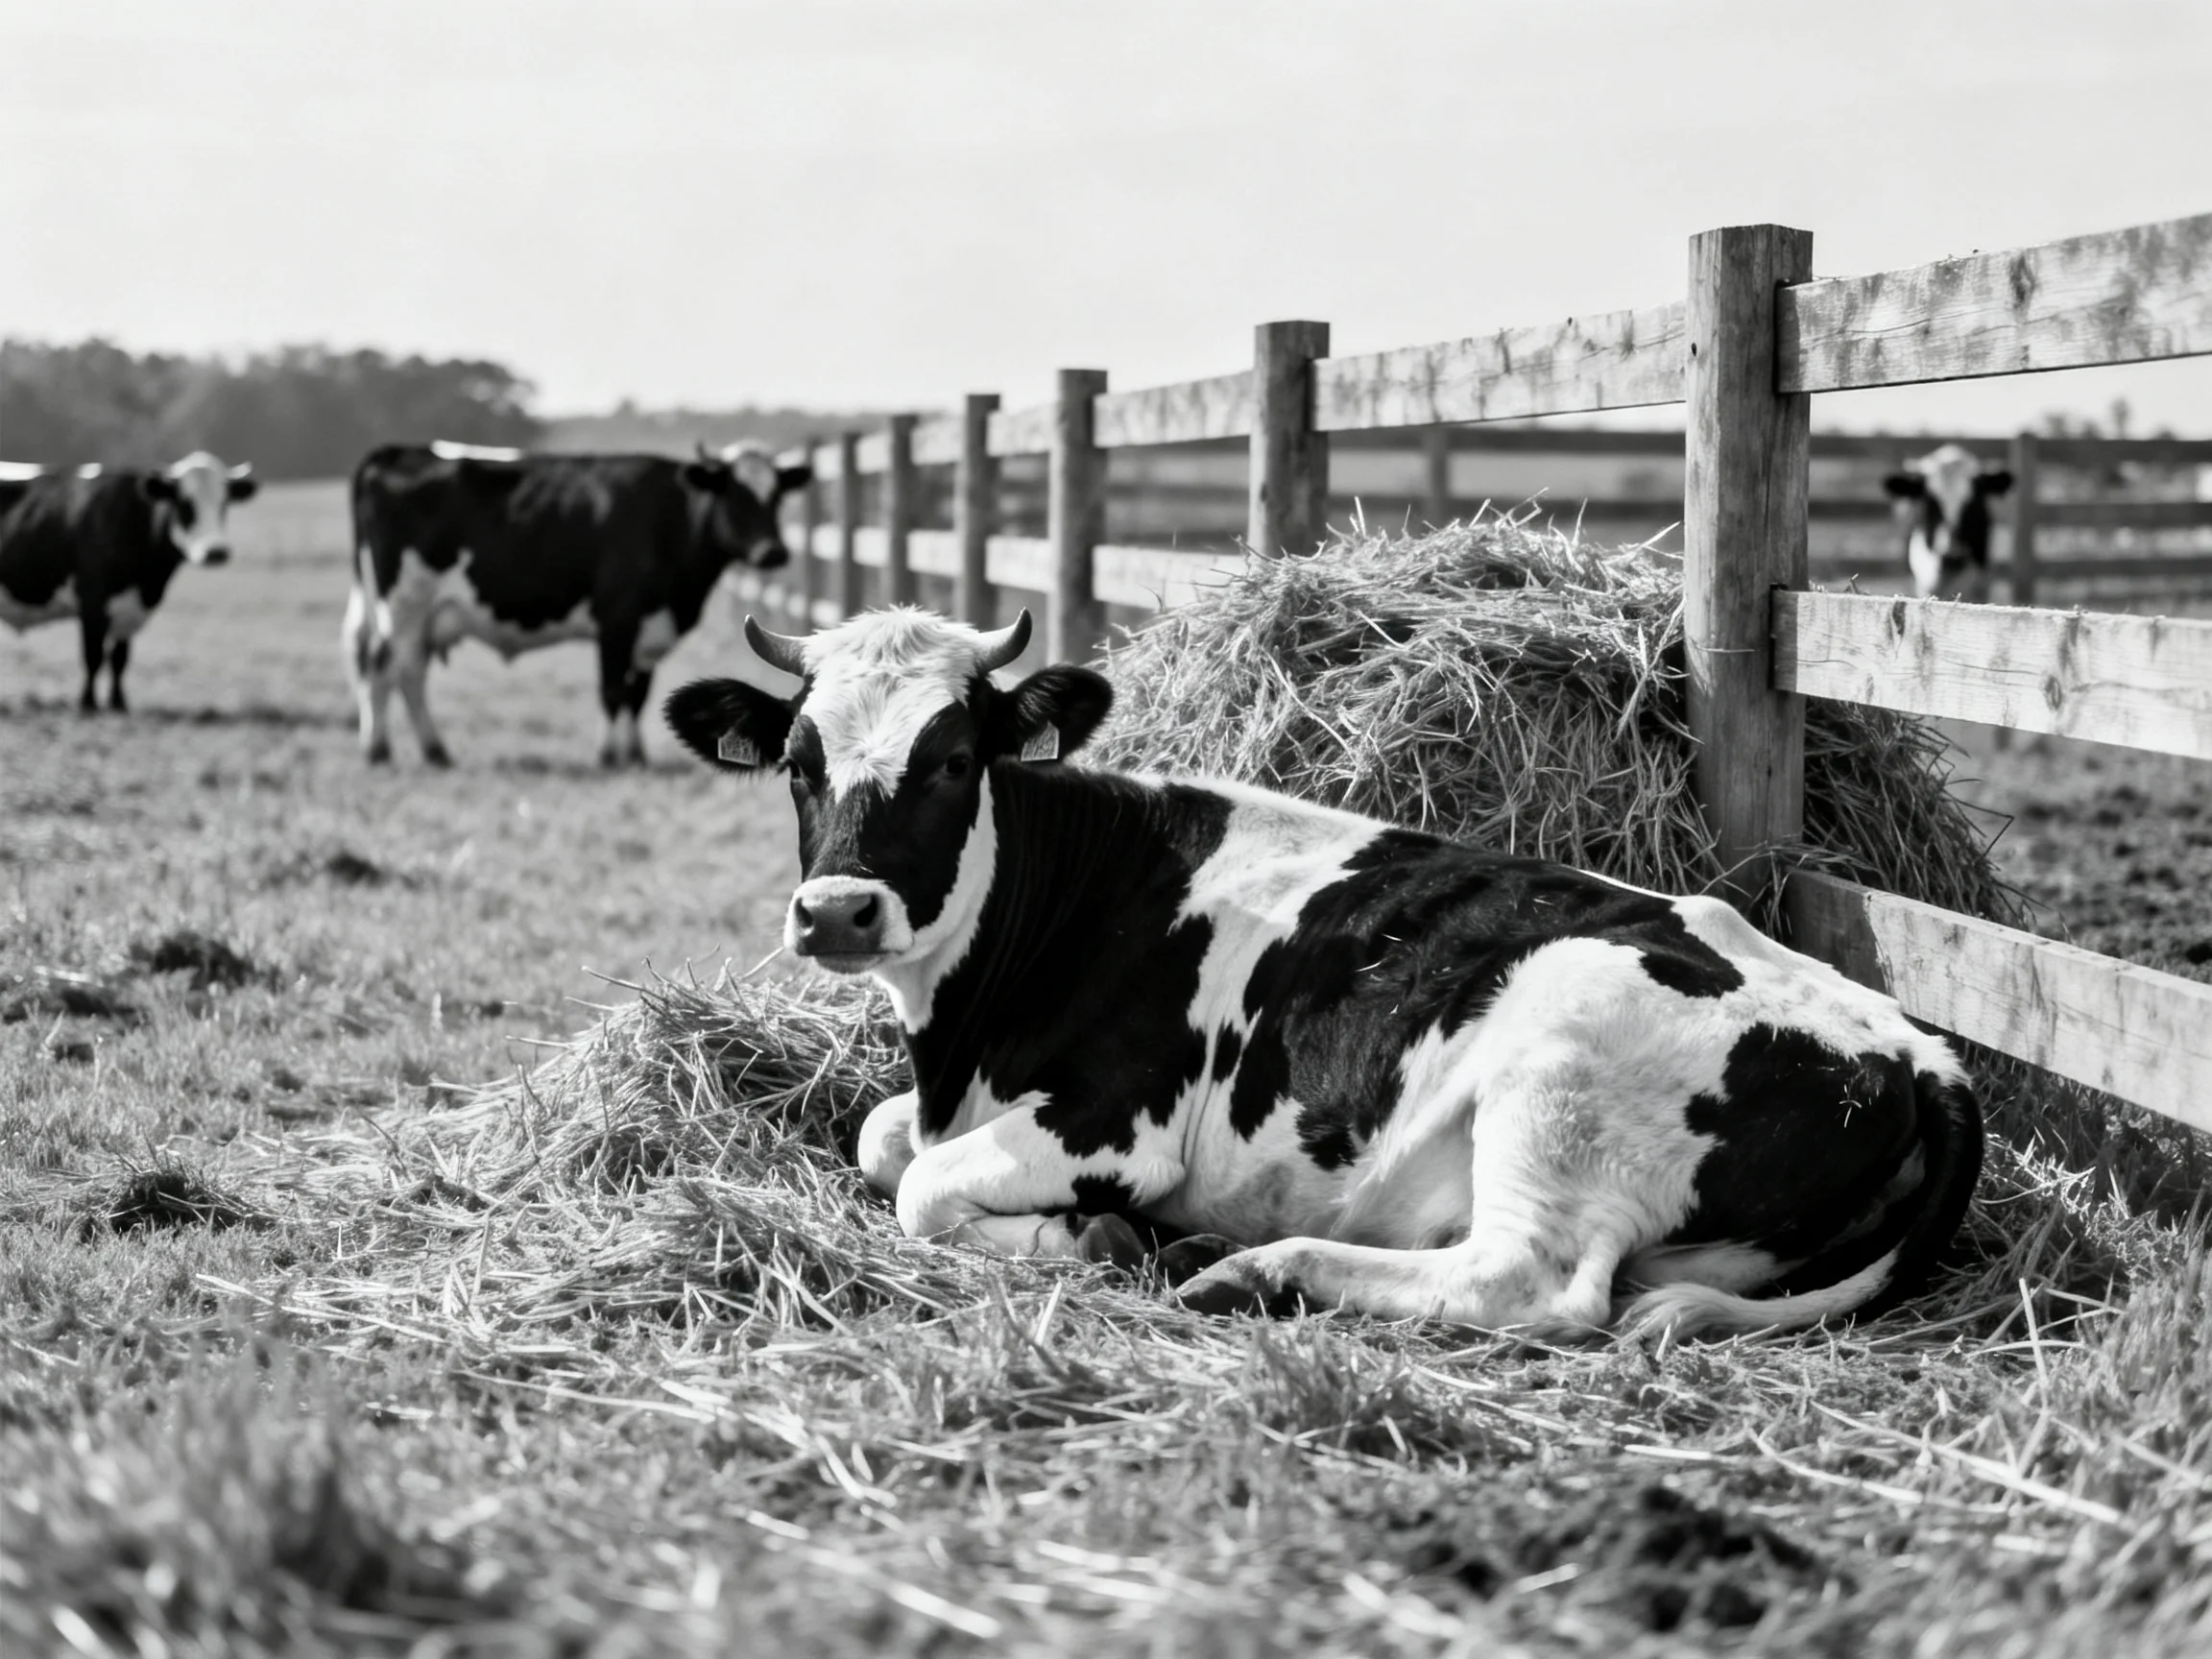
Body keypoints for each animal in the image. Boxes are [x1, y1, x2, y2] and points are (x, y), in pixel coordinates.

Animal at [0, 453, 257, 711]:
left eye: (224, 503)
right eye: (184, 504)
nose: (216, 552)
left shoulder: (130, 609)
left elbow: (119, 659)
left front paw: (118, 702)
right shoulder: (92, 602)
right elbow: (93, 656)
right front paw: (88, 703)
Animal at [345, 441, 810, 767]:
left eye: (776, 497)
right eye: (733, 495)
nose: (773, 552)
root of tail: (397, 451)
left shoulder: (649, 631)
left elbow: (638, 694)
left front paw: (636, 756)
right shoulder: (617, 622)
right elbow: (611, 691)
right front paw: (608, 757)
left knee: (389, 669)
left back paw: (401, 750)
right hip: (405, 605)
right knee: (398, 670)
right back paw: (413, 750)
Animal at [663, 607, 1984, 1340]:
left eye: (949, 760)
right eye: (796, 763)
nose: (838, 910)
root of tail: (1917, 1049)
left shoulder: (1121, 1120)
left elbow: (924, 1186)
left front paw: (1098, 1239)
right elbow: (885, 1139)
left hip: (1563, 1061)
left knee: (1532, 1283)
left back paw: (1251, 1267)